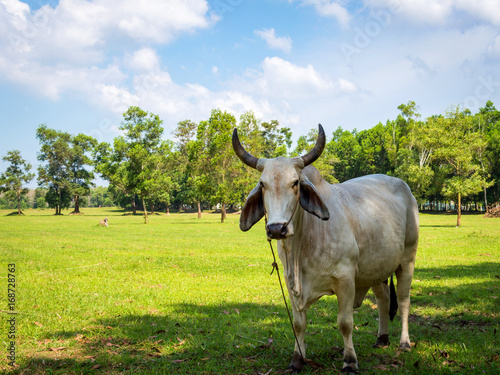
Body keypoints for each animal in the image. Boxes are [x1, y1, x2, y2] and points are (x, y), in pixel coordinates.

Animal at [233, 125, 418, 374]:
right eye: (262, 184)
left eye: (295, 183)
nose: (277, 228)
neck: (303, 247)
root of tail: (404, 186)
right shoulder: (291, 283)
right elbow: (298, 323)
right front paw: (297, 358)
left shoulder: (345, 279)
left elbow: (345, 322)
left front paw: (350, 360)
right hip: (375, 267)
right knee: (384, 298)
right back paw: (382, 338)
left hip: (407, 258)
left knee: (404, 299)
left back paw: (404, 343)